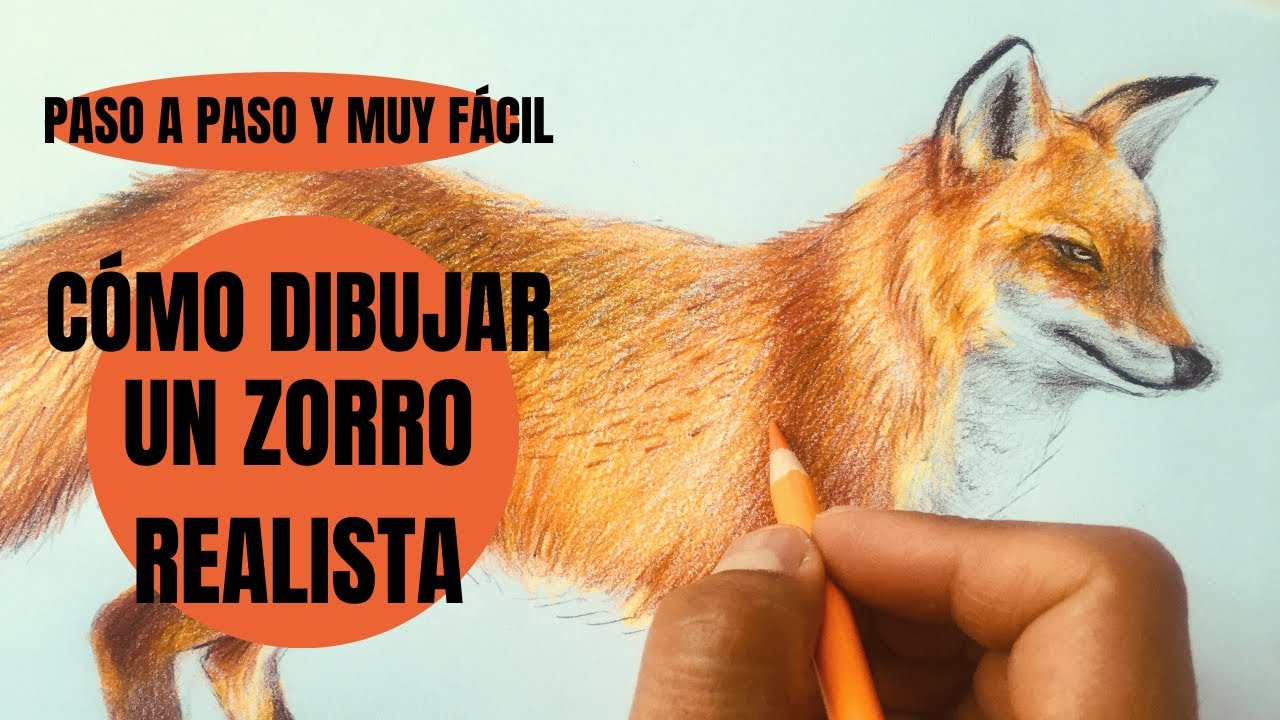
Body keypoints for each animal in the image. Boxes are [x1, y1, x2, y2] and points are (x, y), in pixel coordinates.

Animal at [0, 37, 1215, 719]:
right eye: (1072, 255)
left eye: (1156, 258)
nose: (1202, 364)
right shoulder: (738, 560)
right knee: (121, 636)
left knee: (233, 666)